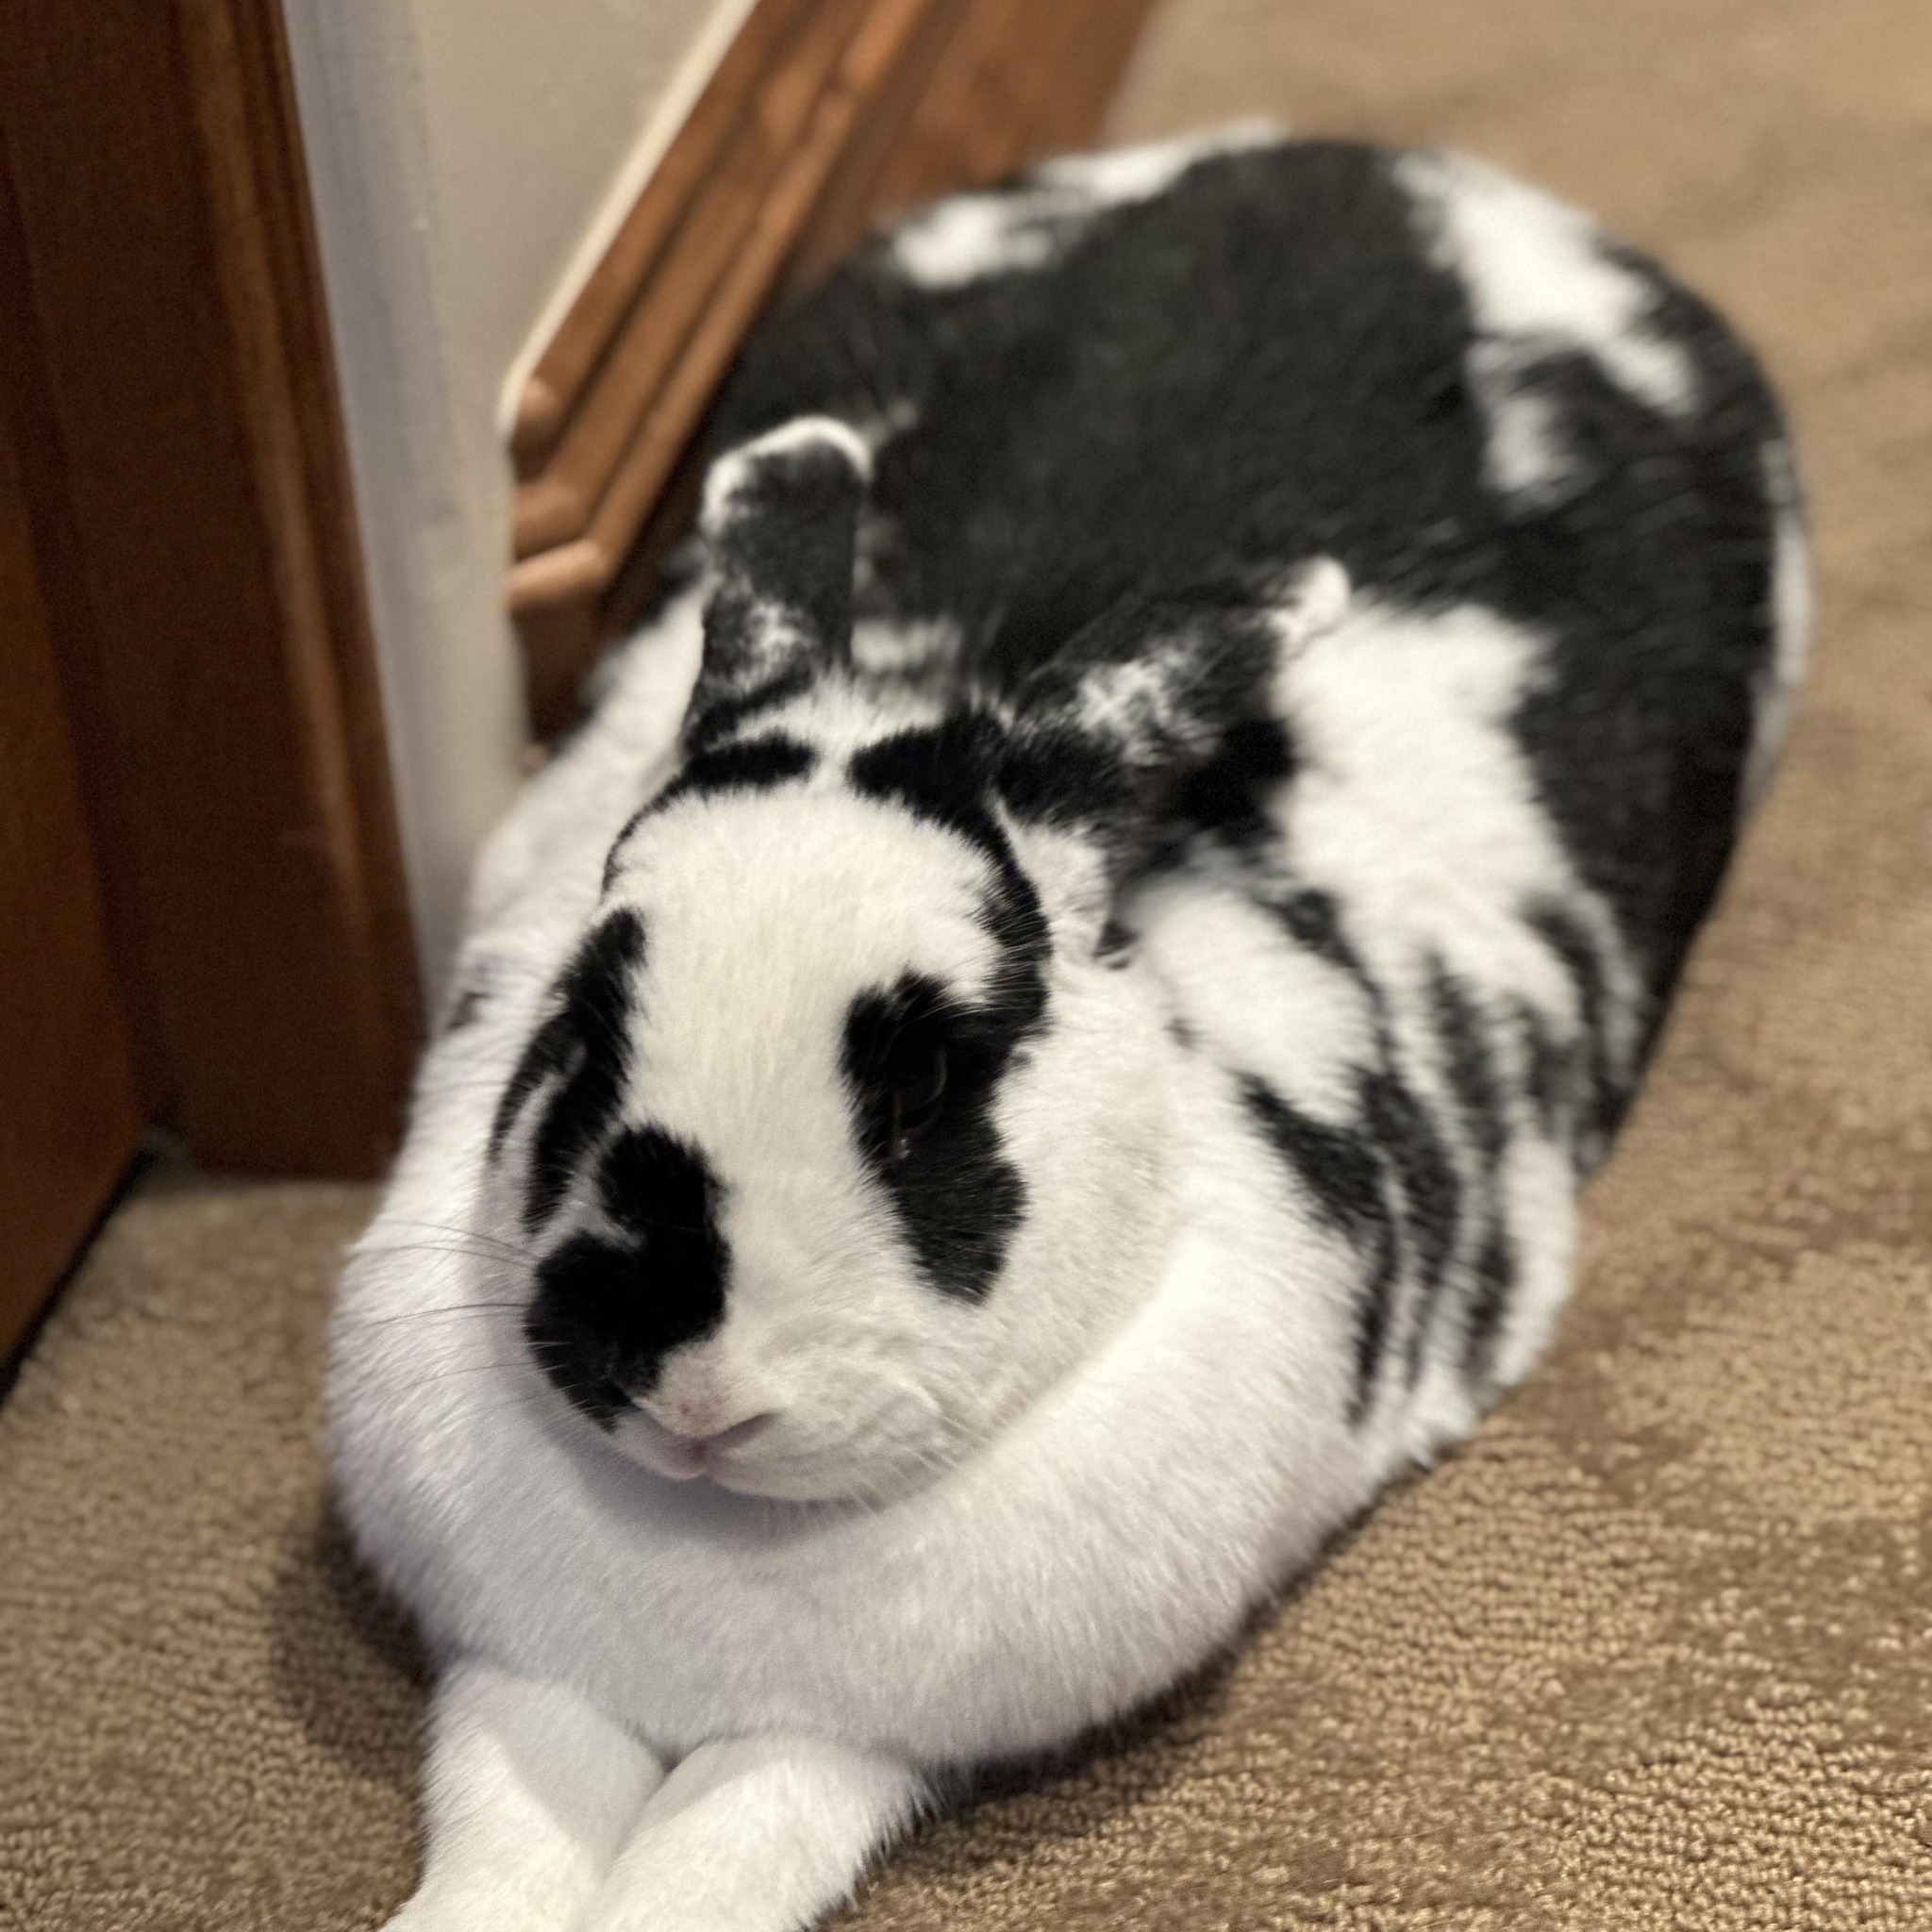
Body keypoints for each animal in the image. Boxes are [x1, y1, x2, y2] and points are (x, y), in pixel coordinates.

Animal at [331, 126, 1807, 1932]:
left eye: (931, 1083)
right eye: (580, 1014)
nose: (686, 1389)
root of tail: (1393, 163)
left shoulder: (844, 1745)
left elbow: (720, 1853)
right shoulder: (526, 1677)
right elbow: (508, 1835)